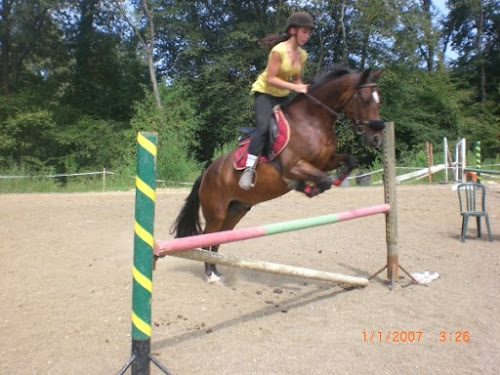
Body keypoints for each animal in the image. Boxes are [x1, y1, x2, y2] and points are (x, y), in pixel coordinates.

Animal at [171, 67, 382, 284]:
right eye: (365, 99)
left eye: (378, 100)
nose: (376, 138)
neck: (312, 120)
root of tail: (207, 172)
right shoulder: (294, 166)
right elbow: (323, 180)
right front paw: (306, 188)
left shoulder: (326, 160)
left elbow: (349, 161)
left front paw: (337, 179)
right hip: (216, 211)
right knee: (207, 238)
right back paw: (210, 275)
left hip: (236, 209)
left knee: (218, 239)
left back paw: (216, 271)